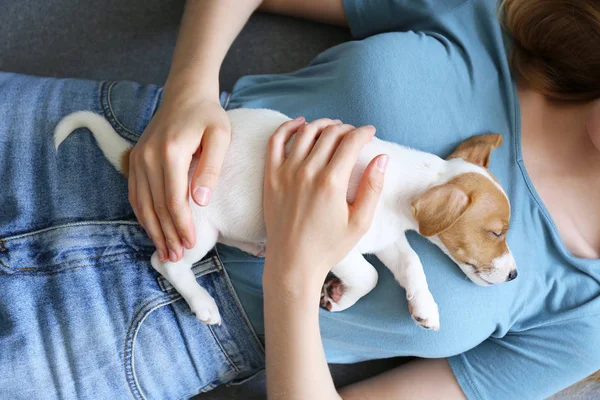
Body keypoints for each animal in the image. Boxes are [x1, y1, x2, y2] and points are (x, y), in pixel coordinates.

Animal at [54, 108, 516, 330]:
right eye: (496, 232)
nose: (514, 276)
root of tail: (135, 157)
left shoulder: (387, 240)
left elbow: (412, 265)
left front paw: (424, 307)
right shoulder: (338, 241)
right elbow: (369, 276)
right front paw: (341, 296)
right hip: (196, 227)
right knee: (164, 263)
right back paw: (202, 303)